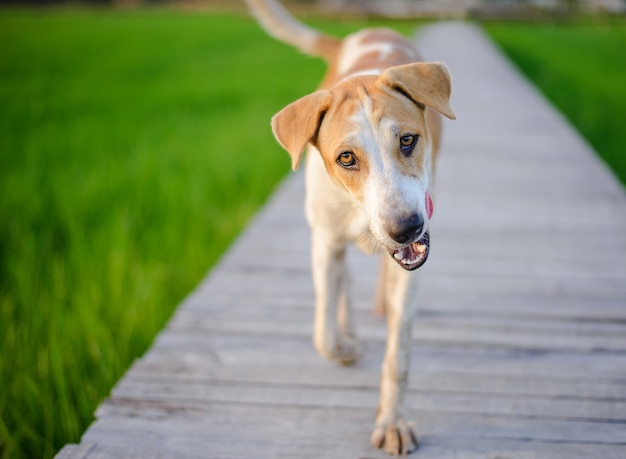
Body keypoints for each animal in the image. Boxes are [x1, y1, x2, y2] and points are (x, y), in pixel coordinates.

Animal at [244, 0, 454, 454]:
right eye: (345, 158)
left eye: (408, 140)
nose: (406, 228)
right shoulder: (324, 240)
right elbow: (323, 330)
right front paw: (344, 348)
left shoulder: (414, 261)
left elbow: (398, 355)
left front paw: (392, 421)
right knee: (343, 284)